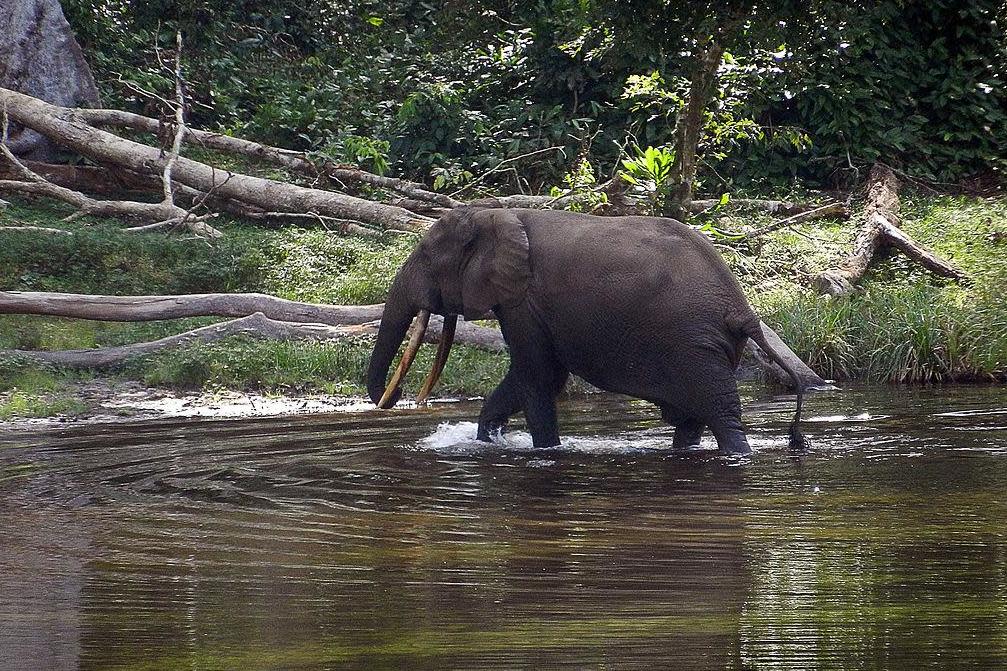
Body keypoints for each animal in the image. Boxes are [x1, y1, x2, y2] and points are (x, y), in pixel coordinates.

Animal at [366, 206, 805, 451]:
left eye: (426, 256)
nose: (398, 395)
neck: (498, 215)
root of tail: (741, 309)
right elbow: (532, 377)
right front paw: (489, 442)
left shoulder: (523, 299)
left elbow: (537, 376)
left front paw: (545, 451)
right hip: (709, 347)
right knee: (693, 419)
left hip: (692, 343)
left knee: (720, 413)